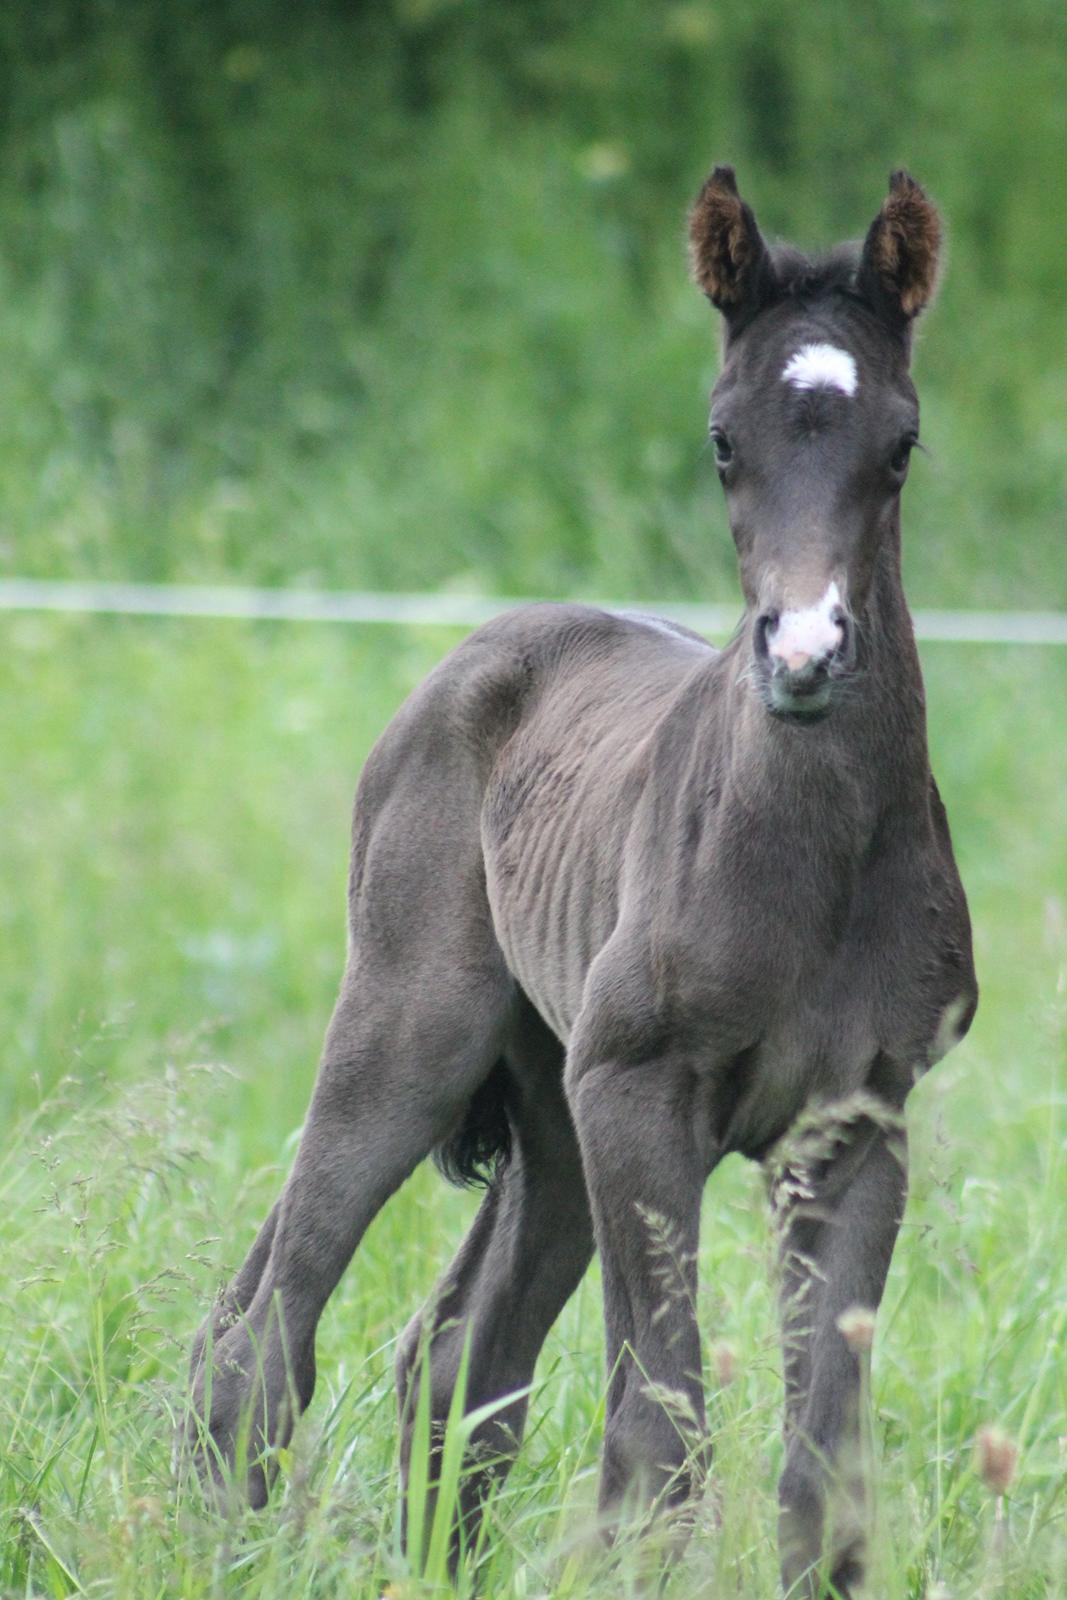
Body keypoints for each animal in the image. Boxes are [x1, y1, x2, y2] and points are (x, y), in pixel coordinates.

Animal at [185, 168, 979, 1593]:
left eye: (898, 445)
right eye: (721, 441)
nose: (805, 654)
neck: (814, 866)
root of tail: (471, 655)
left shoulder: (853, 1127)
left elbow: (822, 1473)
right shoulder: (637, 1094)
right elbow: (658, 1442)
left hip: (547, 1113)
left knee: (455, 1355)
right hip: (417, 1034)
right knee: (266, 1322)